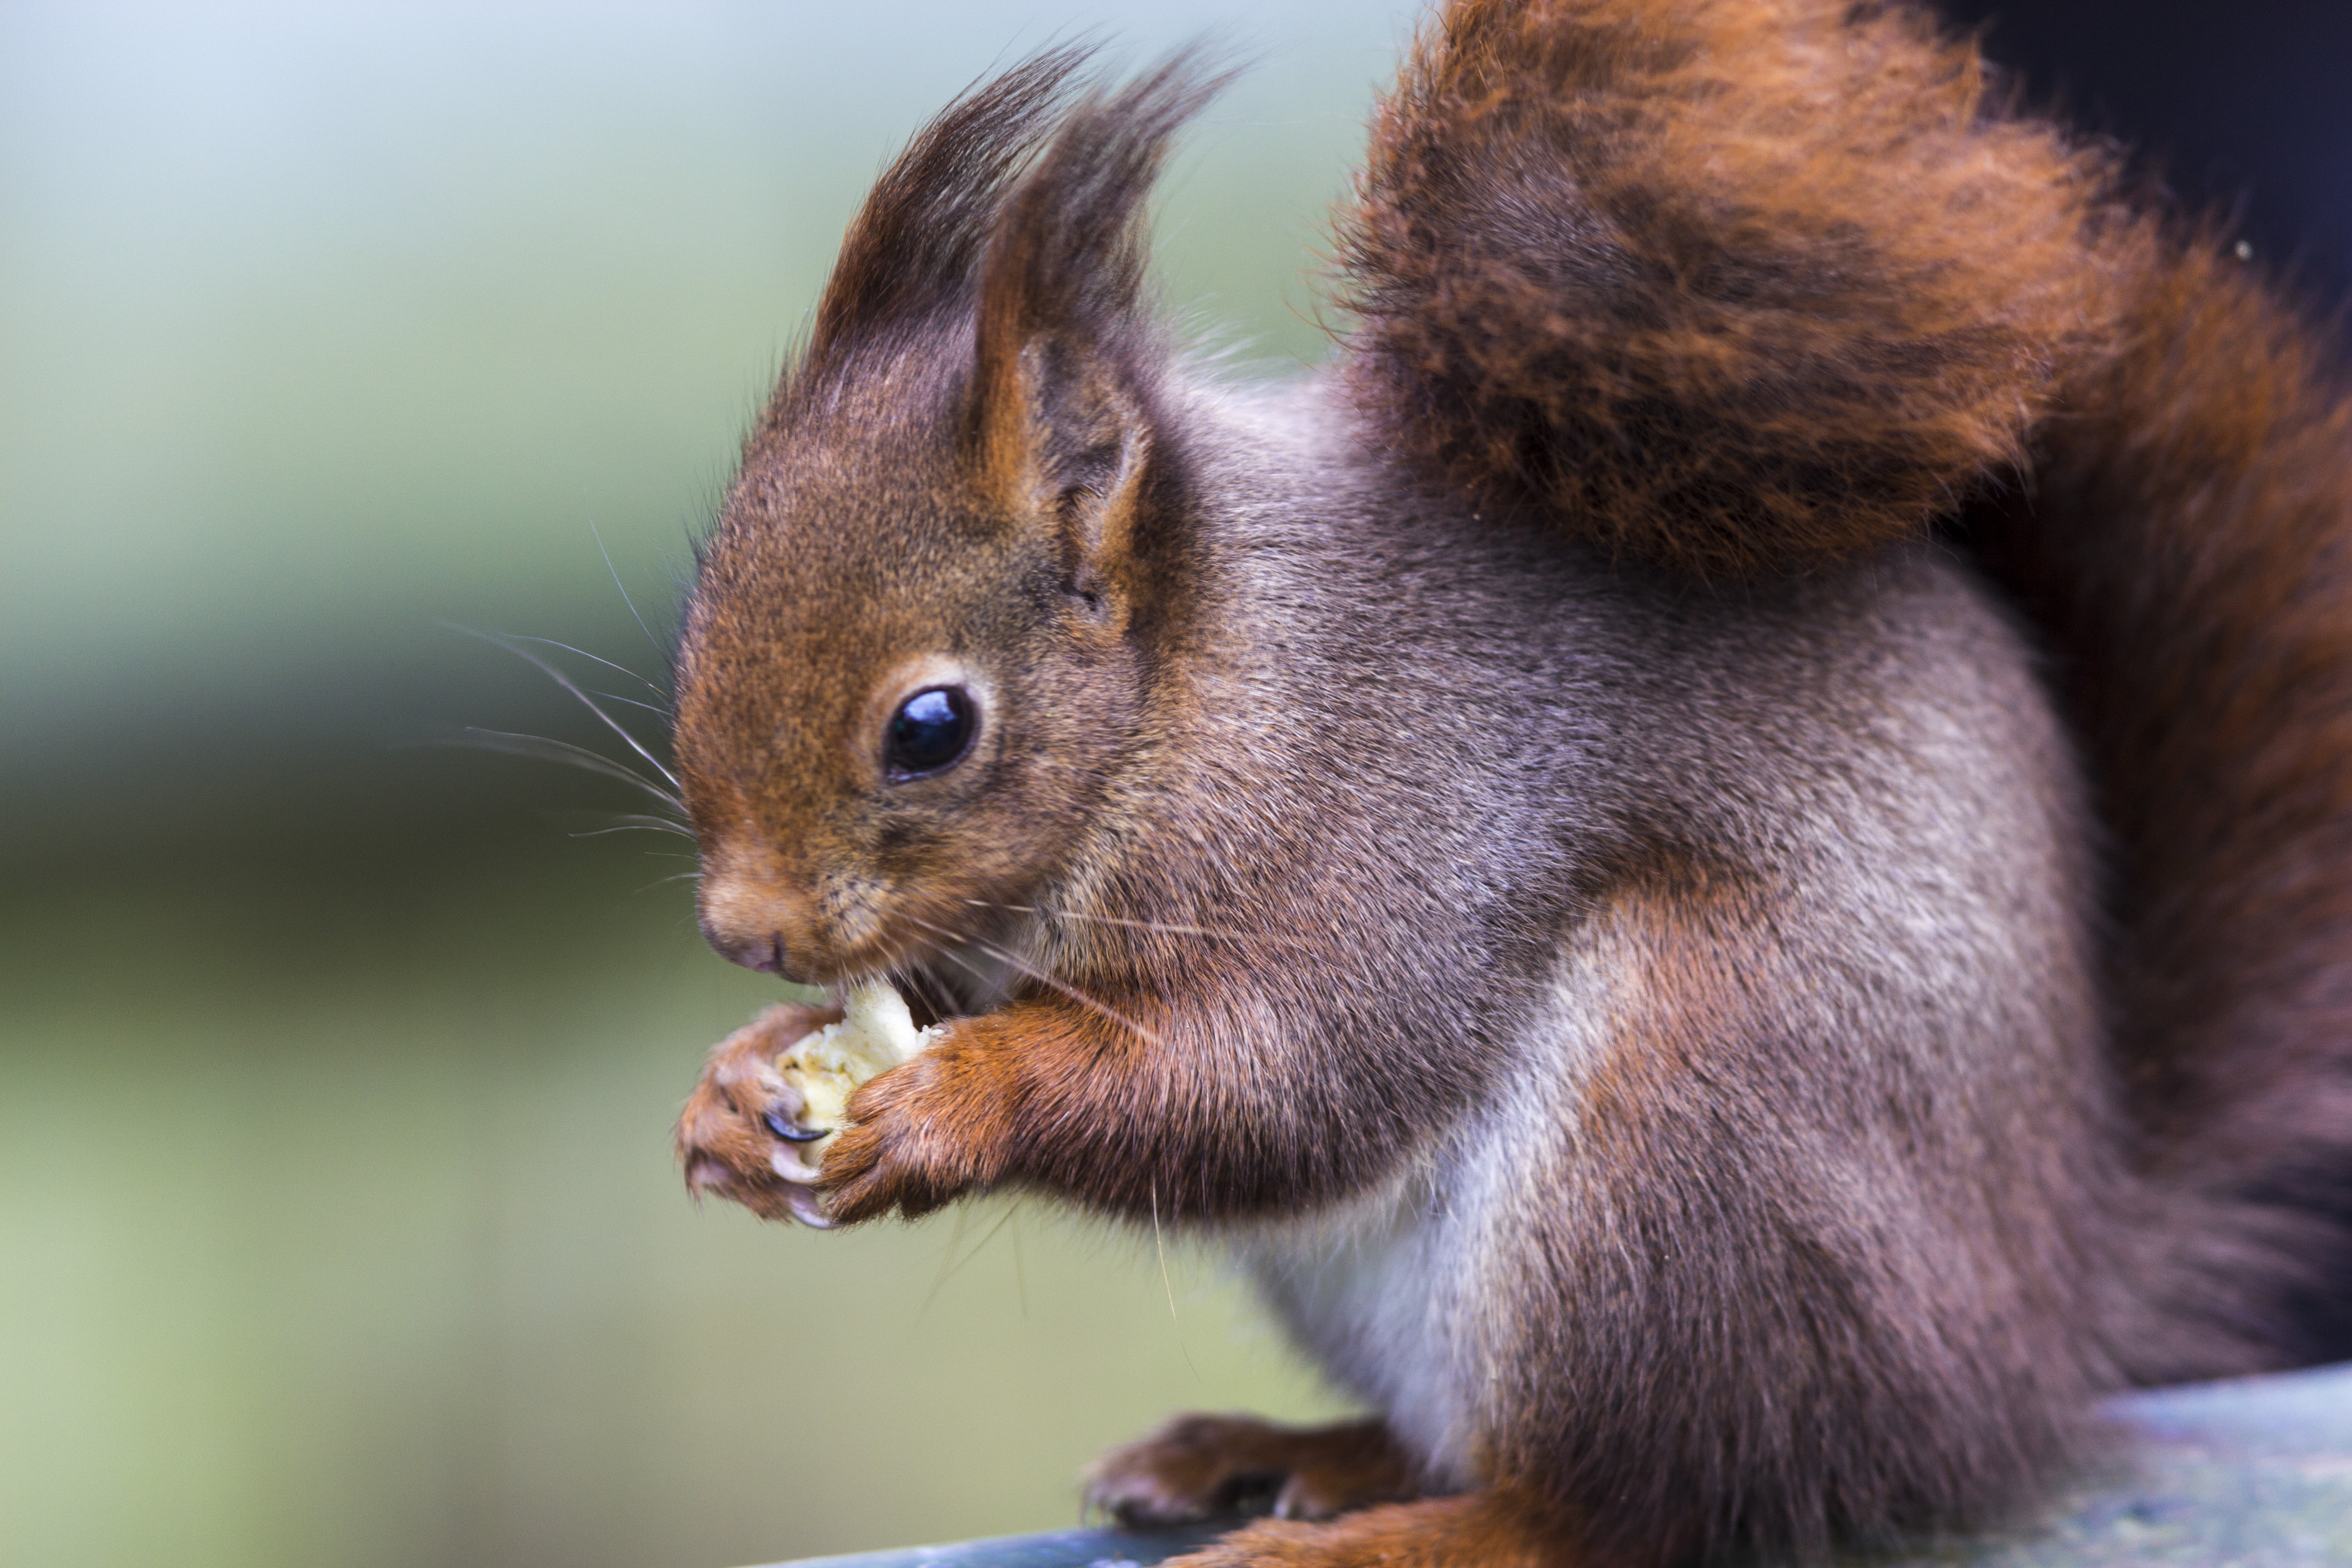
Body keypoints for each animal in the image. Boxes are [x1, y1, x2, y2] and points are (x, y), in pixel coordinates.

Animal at [658, 6, 2352, 1561]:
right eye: (699, 608)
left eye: (931, 726)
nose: (744, 930)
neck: (1197, 685)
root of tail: (2037, 1328)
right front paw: (743, 1083)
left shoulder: (1394, 809)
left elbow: (1284, 1073)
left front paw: (952, 1100)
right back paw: (1288, 1450)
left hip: (1686, 1152)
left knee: (1639, 1501)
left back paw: (1393, 1533)